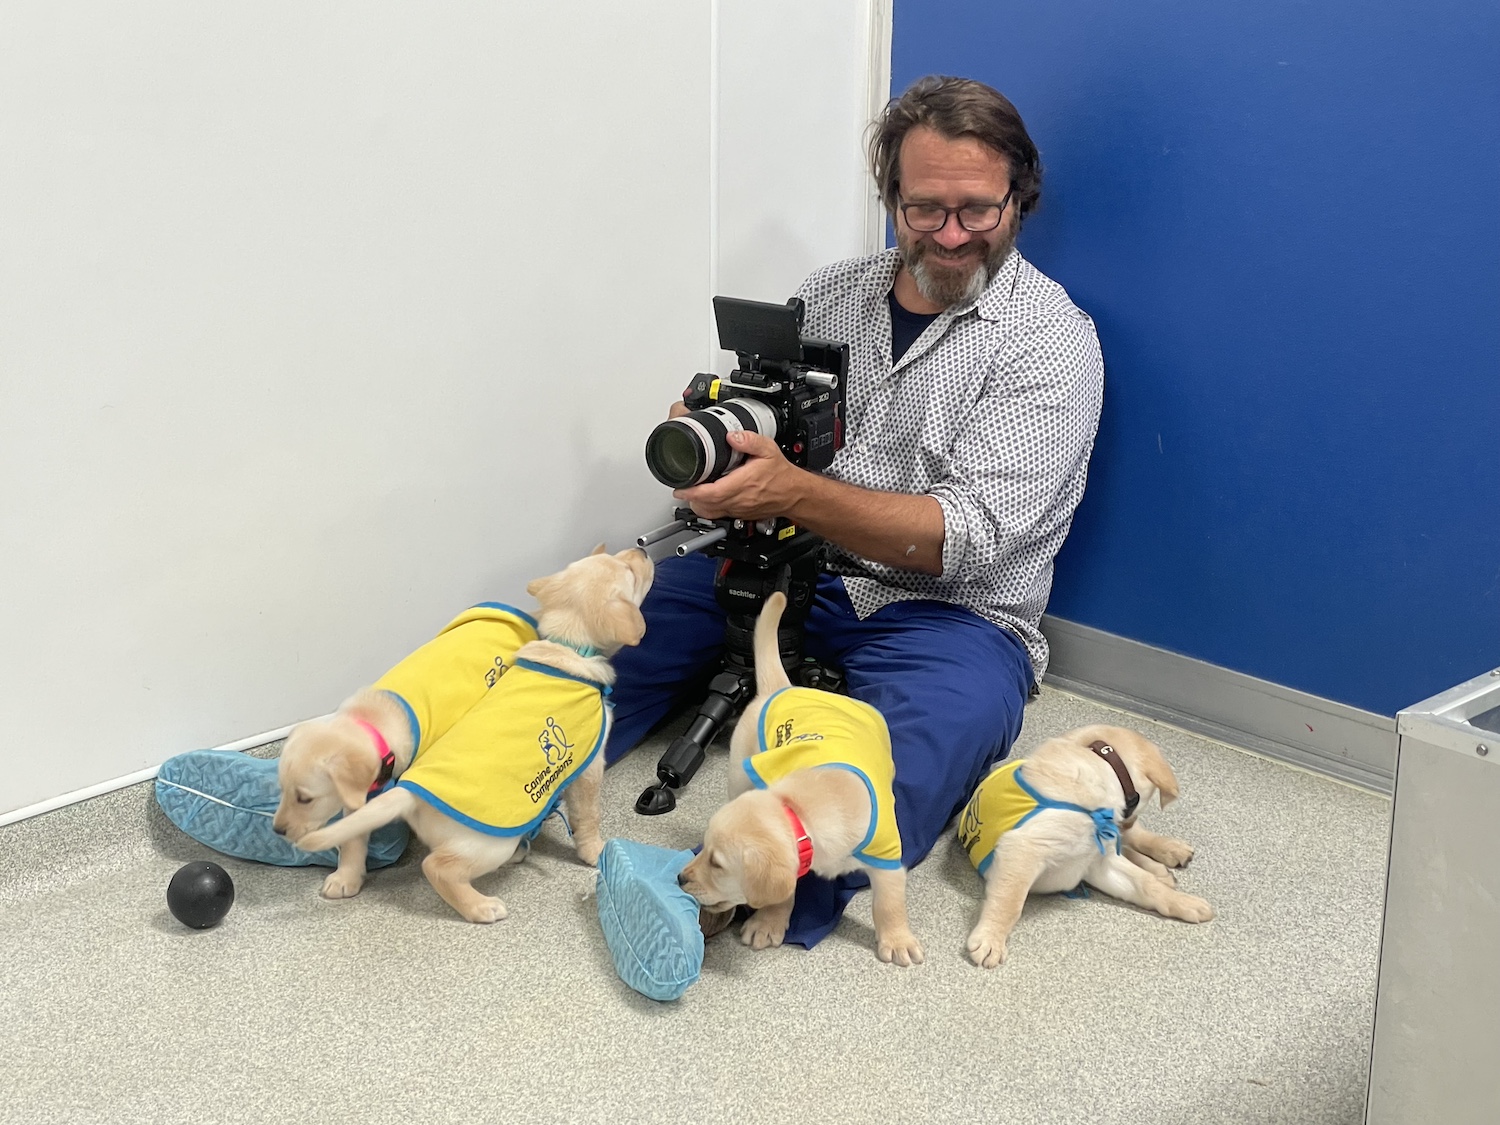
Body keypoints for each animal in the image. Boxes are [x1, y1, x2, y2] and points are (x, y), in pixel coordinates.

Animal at [273, 603, 537, 906]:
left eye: (305, 799)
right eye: (282, 789)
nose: (277, 830)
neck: (373, 718)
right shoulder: (360, 796)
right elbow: (352, 835)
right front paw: (346, 877)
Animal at [684, 591, 924, 972]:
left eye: (717, 864)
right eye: (703, 849)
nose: (680, 878)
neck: (811, 804)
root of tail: (783, 687)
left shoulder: (886, 854)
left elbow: (888, 902)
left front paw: (898, 939)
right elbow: (784, 893)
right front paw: (769, 922)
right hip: (741, 770)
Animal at [960, 726, 1218, 972]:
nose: (1127, 821)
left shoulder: (1098, 861)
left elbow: (1146, 884)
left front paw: (1184, 902)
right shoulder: (1025, 847)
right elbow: (1010, 902)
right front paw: (991, 938)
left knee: (1135, 839)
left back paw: (1170, 851)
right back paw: (1162, 867)